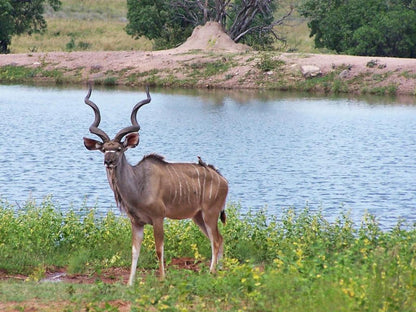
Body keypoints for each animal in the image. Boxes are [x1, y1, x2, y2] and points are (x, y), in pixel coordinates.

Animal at [83, 85, 229, 286]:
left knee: (216, 240)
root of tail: (223, 180)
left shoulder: (159, 218)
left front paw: (162, 279)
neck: (139, 184)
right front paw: (130, 284)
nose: (109, 161)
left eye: (119, 149)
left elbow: (159, 249)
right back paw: (218, 272)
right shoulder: (136, 222)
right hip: (198, 217)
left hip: (210, 213)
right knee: (218, 239)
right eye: (104, 149)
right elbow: (134, 251)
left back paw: (211, 272)